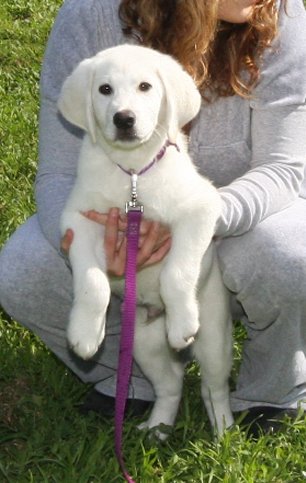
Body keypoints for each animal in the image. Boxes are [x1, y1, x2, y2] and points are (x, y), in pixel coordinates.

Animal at [58, 44, 234, 434]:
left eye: (145, 87)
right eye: (104, 89)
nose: (124, 119)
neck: (134, 174)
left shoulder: (200, 208)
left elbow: (176, 272)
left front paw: (182, 321)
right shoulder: (78, 221)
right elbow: (93, 283)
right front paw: (85, 334)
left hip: (215, 336)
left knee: (213, 388)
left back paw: (224, 431)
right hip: (142, 344)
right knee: (172, 384)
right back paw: (157, 429)